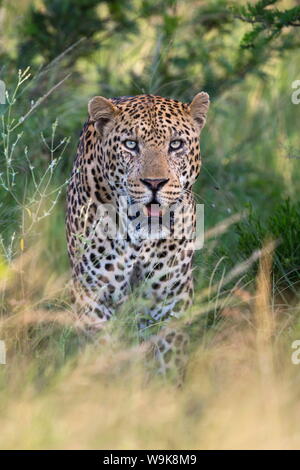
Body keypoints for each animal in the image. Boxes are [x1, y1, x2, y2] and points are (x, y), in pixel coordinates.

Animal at [67, 92, 210, 382]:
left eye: (176, 144)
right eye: (131, 144)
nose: (154, 183)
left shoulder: (169, 298)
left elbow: (169, 357)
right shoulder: (94, 295)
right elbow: (102, 352)